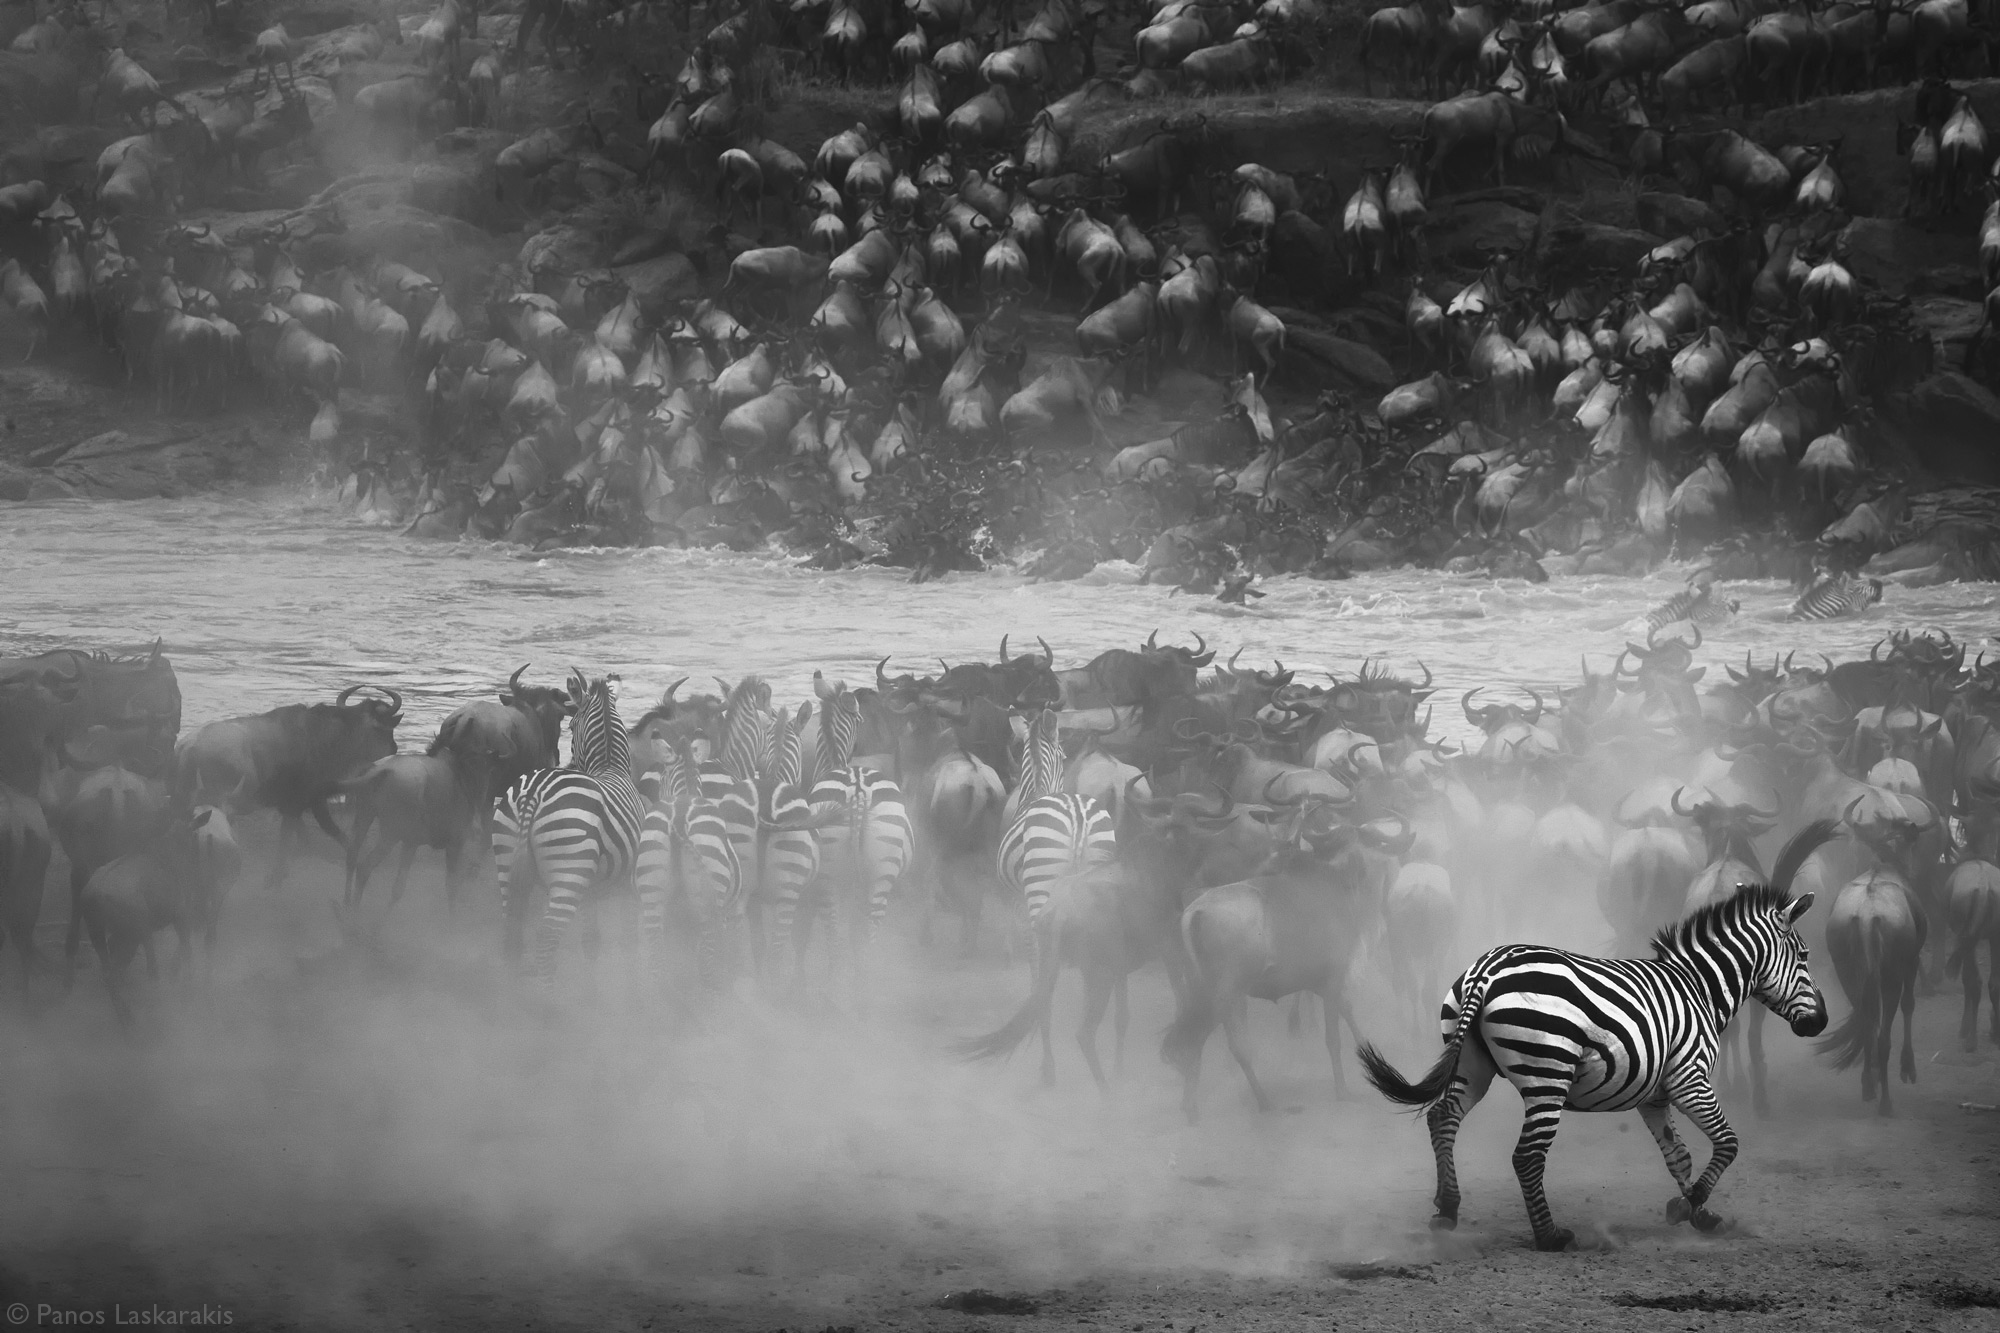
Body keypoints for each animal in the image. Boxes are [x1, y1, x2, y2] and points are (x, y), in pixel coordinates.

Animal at [492, 668, 640, 980]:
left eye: (569, 726)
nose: (566, 763)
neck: (611, 767)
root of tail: (533, 794)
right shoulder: (628, 881)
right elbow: (629, 937)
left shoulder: (593, 889)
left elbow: (591, 941)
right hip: (568, 873)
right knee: (546, 937)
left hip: (507, 864)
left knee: (511, 934)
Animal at [1352, 816, 1832, 1248]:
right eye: (1805, 956)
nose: (1822, 1022)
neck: (1700, 988)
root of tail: (1488, 969)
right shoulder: (1690, 1079)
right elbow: (1728, 1142)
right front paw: (1689, 1205)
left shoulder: (1655, 1094)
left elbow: (1679, 1155)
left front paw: (1700, 1214)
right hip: (1547, 1074)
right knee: (1527, 1155)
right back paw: (1551, 1236)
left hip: (1471, 1061)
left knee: (1443, 1117)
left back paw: (1447, 1209)